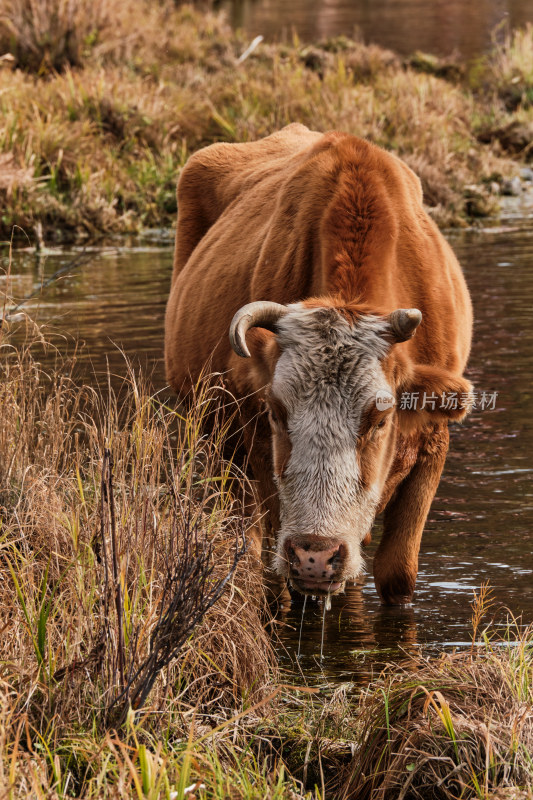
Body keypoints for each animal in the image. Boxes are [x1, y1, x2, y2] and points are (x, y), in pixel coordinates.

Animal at [164, 122, 472, 604]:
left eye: (381, 419)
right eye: (276, 412)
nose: (316, 555)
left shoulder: (433, 442)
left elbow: (397, 574)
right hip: (216, 440)